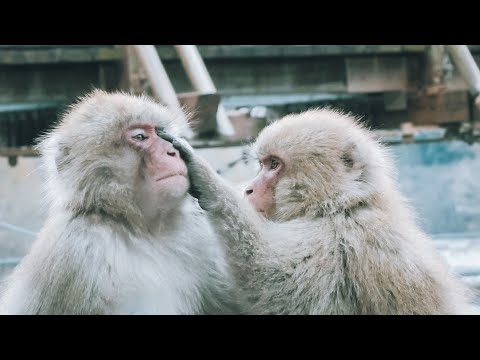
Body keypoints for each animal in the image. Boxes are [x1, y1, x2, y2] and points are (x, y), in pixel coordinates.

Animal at [163, 108, 474, 314]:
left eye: (274, 164)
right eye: (262, 164)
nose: (249, 189)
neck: (337, 206)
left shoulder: (336, 240)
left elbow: (273, 281)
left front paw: (208, 181)